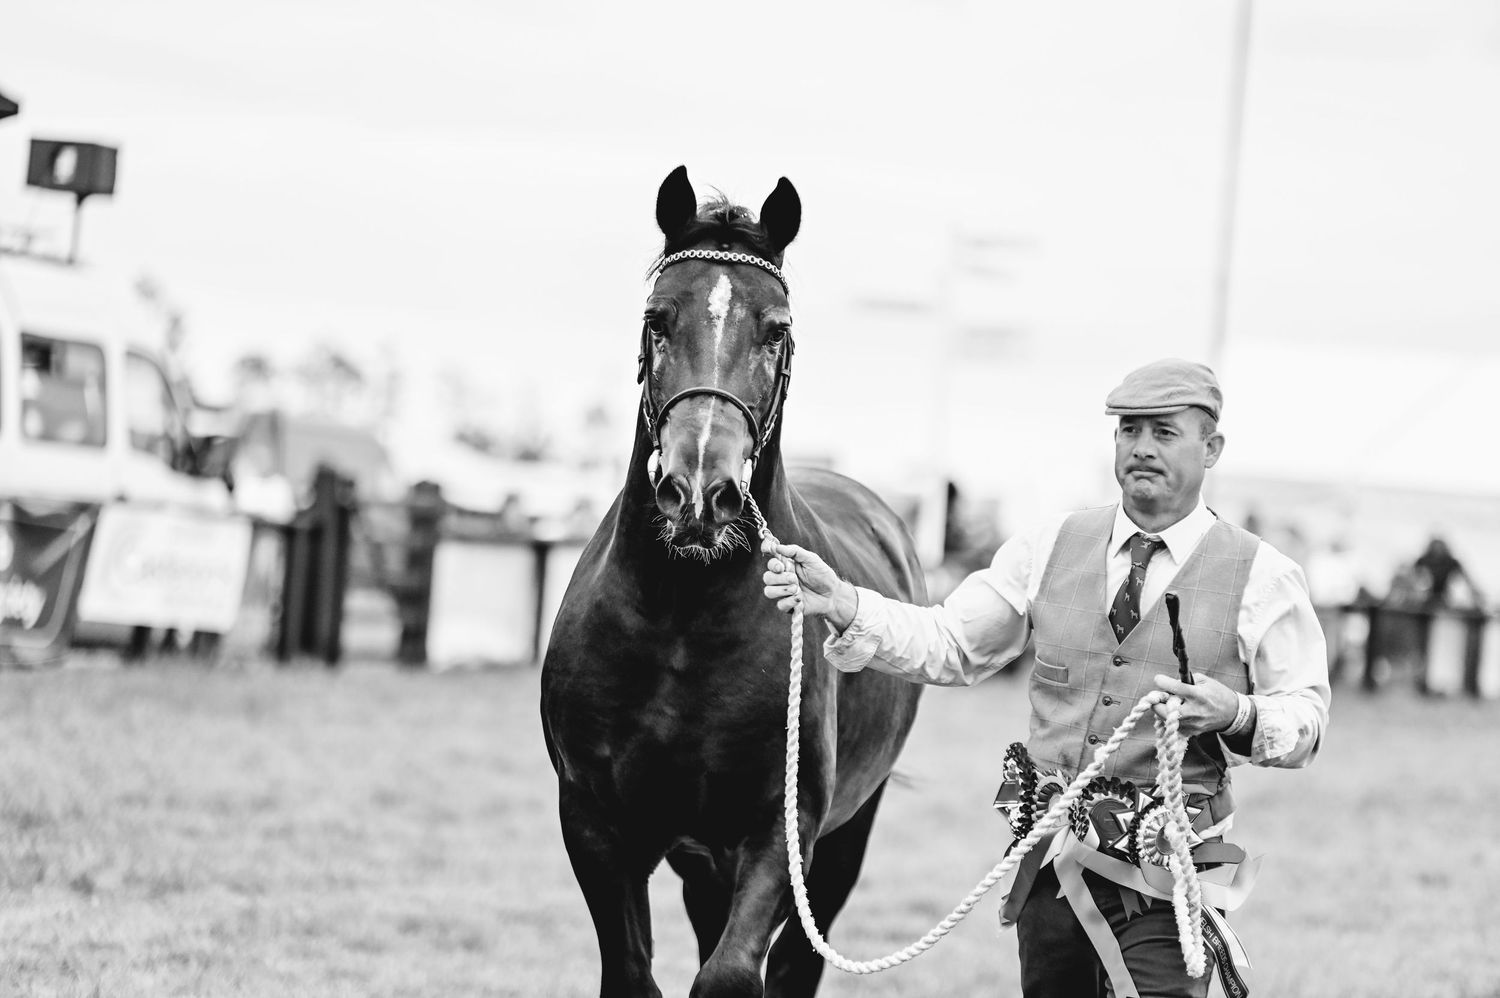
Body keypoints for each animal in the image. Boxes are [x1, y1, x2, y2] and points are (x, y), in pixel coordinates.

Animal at [540, 166, 926, 997]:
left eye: (775, 328)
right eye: (657, 318)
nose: (698, 493)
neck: (680, 626)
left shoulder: (784, 834)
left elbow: (729, 975)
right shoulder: (594, 823)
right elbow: (632, 972)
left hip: (843, 841)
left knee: (799, 963)